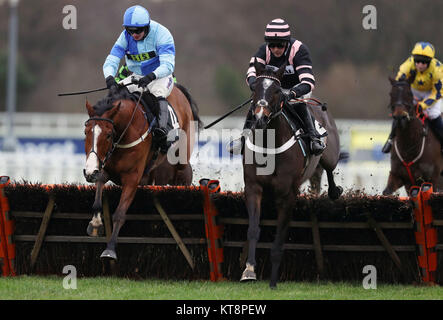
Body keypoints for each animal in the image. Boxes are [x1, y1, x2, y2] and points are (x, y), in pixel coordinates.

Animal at [83, 82, 201, 260]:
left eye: (109, 134)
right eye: (86, 132)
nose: (89, 172)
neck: (124, 134)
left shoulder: (132, 178)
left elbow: (120, 213)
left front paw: (110, 249)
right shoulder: (103, 168)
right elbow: (97, 197)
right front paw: (95, 224)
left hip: (181, 161)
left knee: (184, 173)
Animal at [243, 60, 344, 288]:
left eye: (276, 90)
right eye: (255, 88)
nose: (260, 119)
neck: (269, 146)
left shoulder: (287, 195)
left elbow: (280, 237)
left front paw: (273, 281)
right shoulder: (253, 188)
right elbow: (253, 229)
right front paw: (249, 270)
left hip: (330, 154)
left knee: (330, 169)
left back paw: (335, 191)